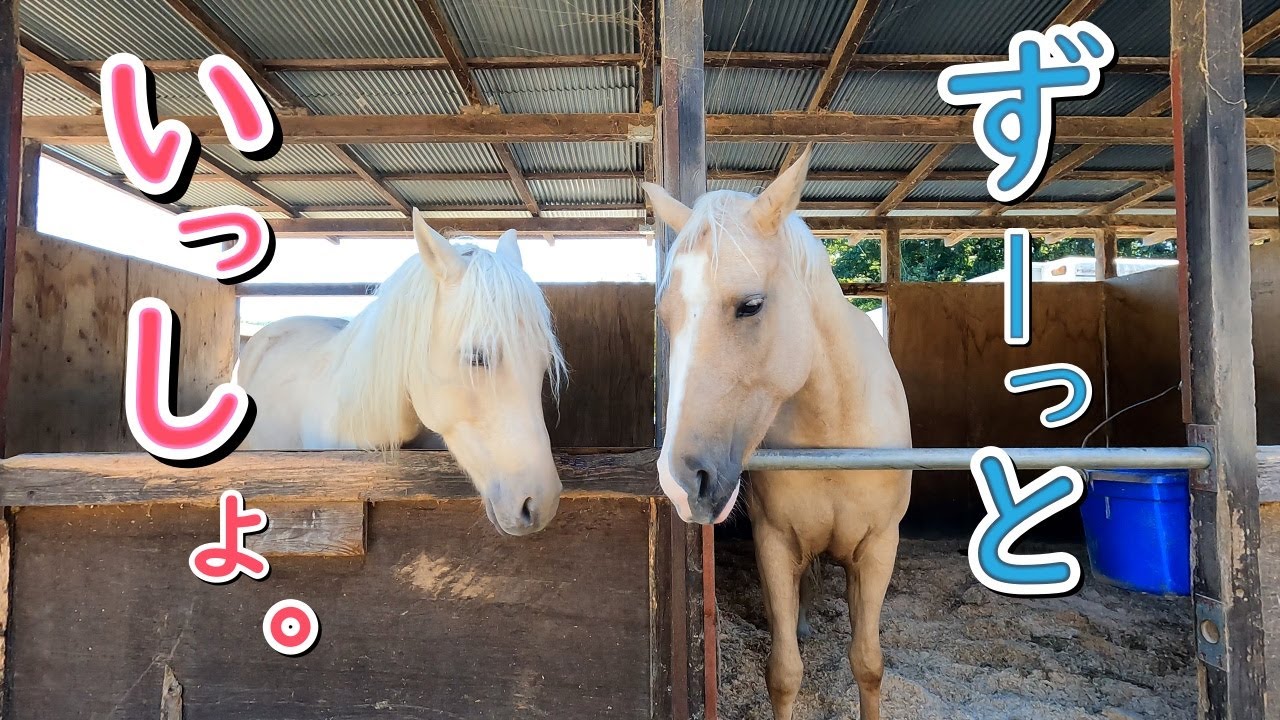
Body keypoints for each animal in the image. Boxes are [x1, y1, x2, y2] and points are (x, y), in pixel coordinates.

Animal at [641, 150, 912, 720]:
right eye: (665, 314)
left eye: (751, 305)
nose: (682, 481)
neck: (835, 434)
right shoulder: (776, 544)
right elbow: (784, 673)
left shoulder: (879, 547)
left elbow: (868, 665)